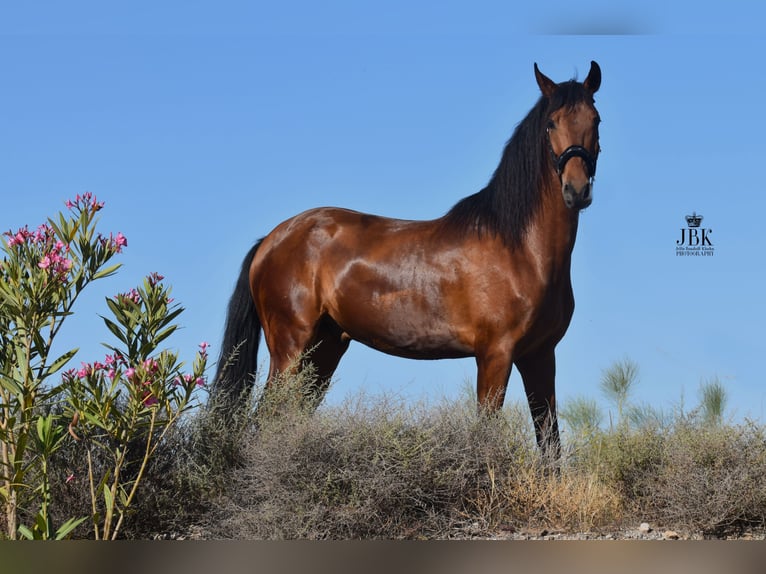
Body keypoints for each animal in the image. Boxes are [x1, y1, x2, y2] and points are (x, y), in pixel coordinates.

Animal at [213, 62, 604, 460]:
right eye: (551, 123)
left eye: (596, 119)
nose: (576, 190)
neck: (521, 251)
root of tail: (271, 240)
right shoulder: (495, 354)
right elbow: (486, 434)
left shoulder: (539, 356)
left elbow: (550, 446)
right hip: (290, 349)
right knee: (265, 422)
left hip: (324, 350)